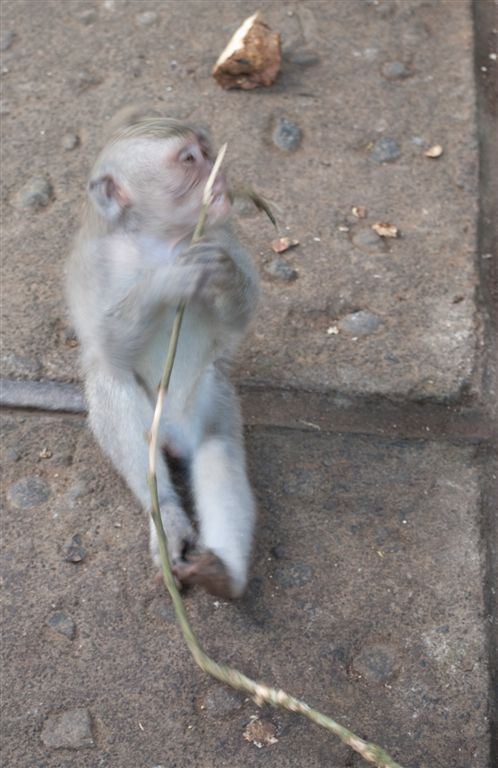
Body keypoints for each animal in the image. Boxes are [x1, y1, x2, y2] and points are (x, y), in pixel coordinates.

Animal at [66, 109, 258, 598]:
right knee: (116, 396)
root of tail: (172, 432)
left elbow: (238, 315)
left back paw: (221, 574)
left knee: (217, 451)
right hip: (154, 423)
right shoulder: (98, 262)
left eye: (206, 151)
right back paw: (167, 516)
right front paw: (170, 279)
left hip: (208, 400)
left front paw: (222, 275)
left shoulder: (221, 233)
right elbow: (106, 348)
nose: (219, 173)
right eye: (189, 160)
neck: (161, 238)